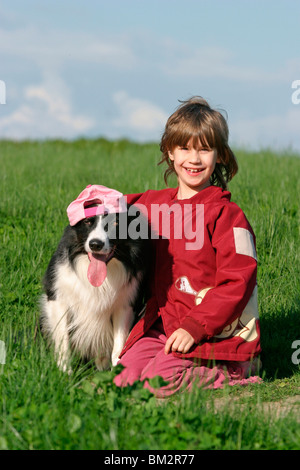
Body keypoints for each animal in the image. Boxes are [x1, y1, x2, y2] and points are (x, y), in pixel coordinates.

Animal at [40, 185, 148, 372]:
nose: (96, 244)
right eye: (88, 222)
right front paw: (65, 372)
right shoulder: (58, 298)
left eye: (115, 223)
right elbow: (63, 339)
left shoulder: (125, 305)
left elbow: (119, 343)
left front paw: (117, 370)